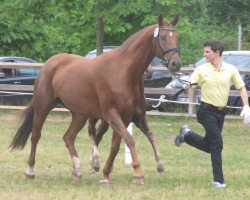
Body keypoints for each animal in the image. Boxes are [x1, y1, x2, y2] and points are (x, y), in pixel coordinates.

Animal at [9, 13, 182, 184]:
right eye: (163, 37)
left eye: (177, 37)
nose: (176, 64)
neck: (122, 71)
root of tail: (48, 64)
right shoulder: (111, 114)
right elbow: (129, 140)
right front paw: (137, 174)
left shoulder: (127, 117)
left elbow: (117, 144)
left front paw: (105, 174)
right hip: (43, 107)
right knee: (36, 135)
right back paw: (30, 171)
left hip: (79, 115)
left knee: (69, 137)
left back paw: (77, 171)